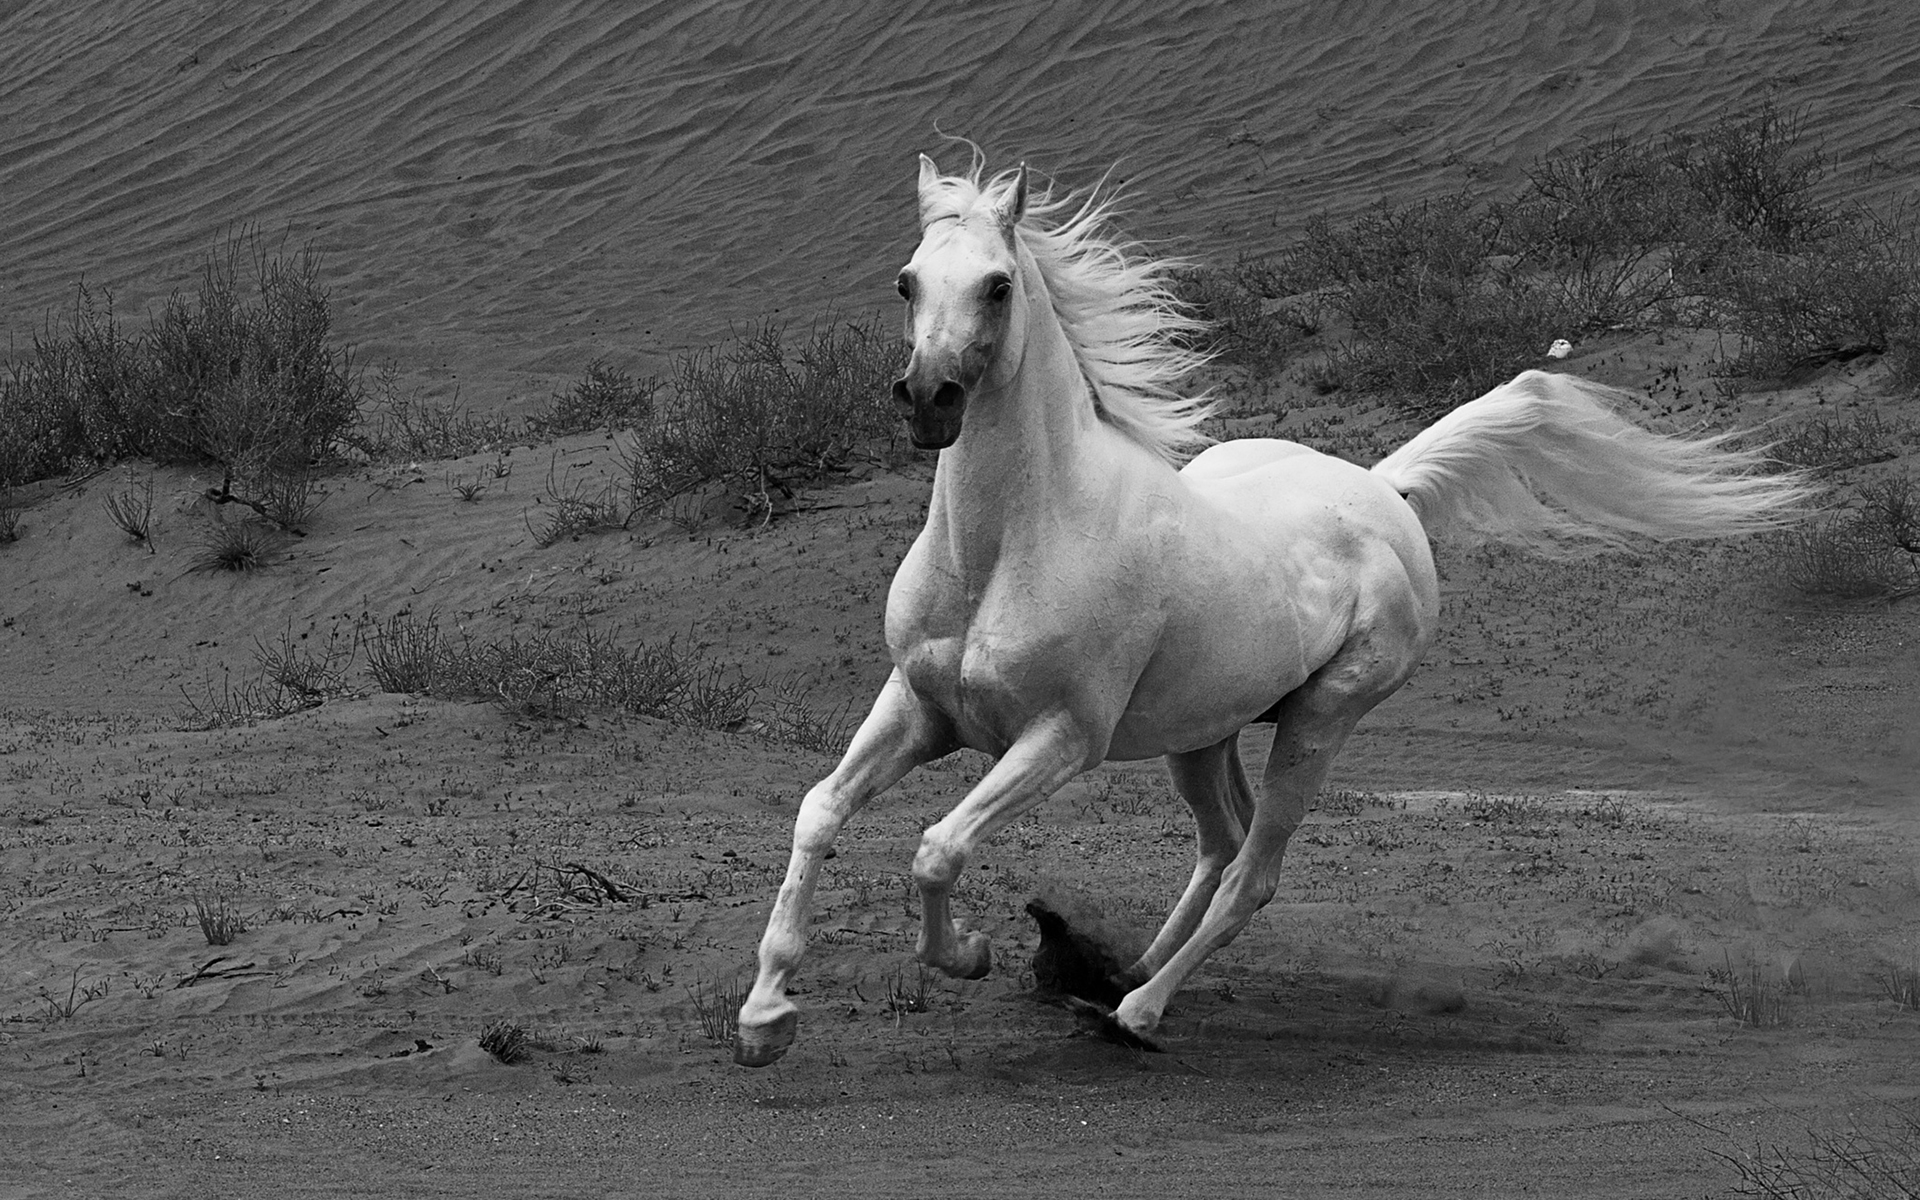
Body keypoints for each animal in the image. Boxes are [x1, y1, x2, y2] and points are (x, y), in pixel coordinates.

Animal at [729, 154, 1797, 1059]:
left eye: (996, 285)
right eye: (907, 281)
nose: (928, 400)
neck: (1012, 544)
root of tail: (1383, 487)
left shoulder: (1061, 737)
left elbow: (937, 849)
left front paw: (968, 955)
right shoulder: (919, 706)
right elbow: (820, 812)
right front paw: (766, 1017)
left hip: (1319, 722)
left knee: (1255, 870)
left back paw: (1135, 1011)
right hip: (1204, 732)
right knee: (1221, 844)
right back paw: (1120, 971)